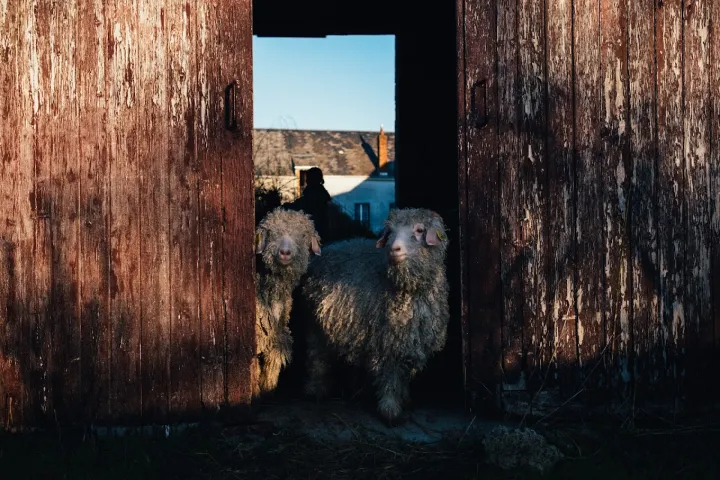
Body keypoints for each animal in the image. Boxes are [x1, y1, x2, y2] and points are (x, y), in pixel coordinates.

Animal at [253, 207, 321, 398]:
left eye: (303, 234)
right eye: (271, 232)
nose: (285, 252)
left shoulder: (276, 338)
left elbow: (272, 365)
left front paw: (266, 391)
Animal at [301, 208, 450, 424]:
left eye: (420, 230)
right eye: (390, 232)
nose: (394, 249)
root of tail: (332, 245)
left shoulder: (412, 341)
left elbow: (403, 375)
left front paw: (404, 398)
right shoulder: (388, 342)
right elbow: (390, 376)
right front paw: (390, 409)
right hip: (314, 323)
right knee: (316, 356)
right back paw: (316, 389)